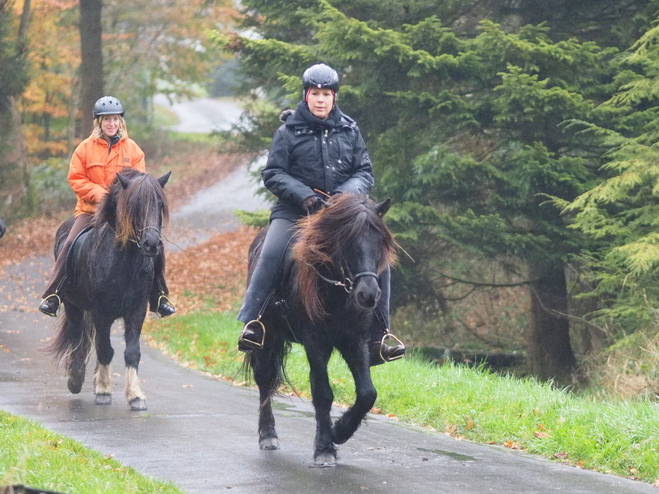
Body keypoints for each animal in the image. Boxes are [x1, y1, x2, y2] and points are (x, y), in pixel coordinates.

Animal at [46, 168, 170, 412]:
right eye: (135, 203)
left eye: (160, 204)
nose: (152, 244)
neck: (123, 262)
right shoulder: (101, 312)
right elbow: (104, 349)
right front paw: (103, 390)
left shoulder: (136, 311)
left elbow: (131, 352)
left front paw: (135, 396)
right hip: (73, 305)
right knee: (78, 336)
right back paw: (76, 377)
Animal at [244, 193, 394, 466]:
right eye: (346, 241)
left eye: (380, 241)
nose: (368, 294)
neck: (336, 292)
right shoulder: (315, 342)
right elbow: (323, 393)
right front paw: (325, 448)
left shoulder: (355, 341)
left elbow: (367, 393)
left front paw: (341, 431)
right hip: (268, 336)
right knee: (264, 379)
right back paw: (268, 435)